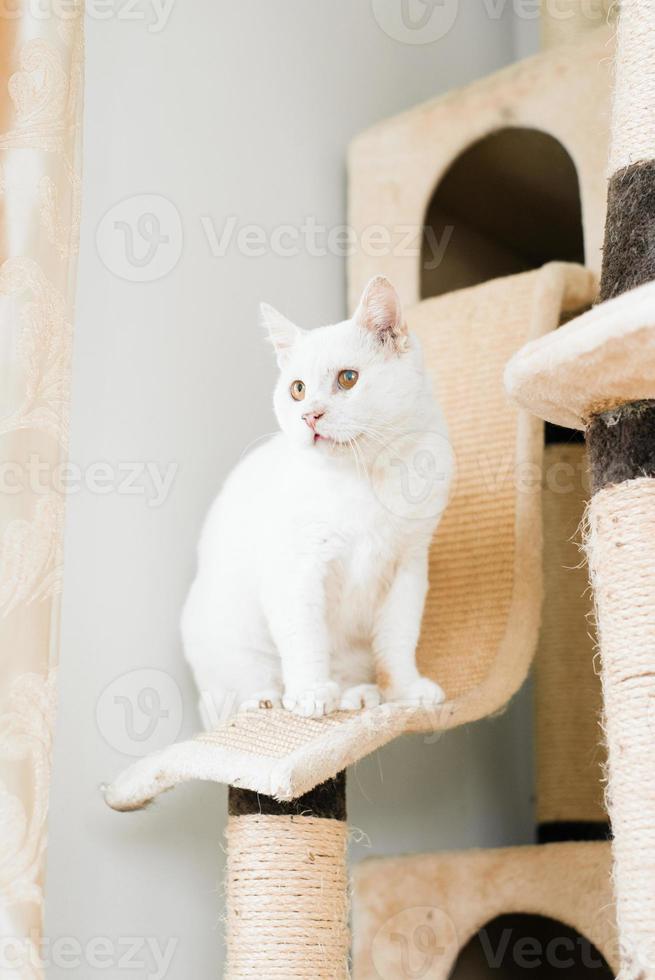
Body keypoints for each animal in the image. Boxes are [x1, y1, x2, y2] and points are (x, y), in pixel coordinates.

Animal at [182, 274, 454, 720]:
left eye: (348, 378)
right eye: (297, 389)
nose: (310, 415)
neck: (362, 478)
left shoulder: (409, 567)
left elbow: (398, 640)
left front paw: (405, 692)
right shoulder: (296, 569)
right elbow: (305, 639)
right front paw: (309, 694)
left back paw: (356, 694)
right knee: (236, 691)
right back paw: (264, 701)